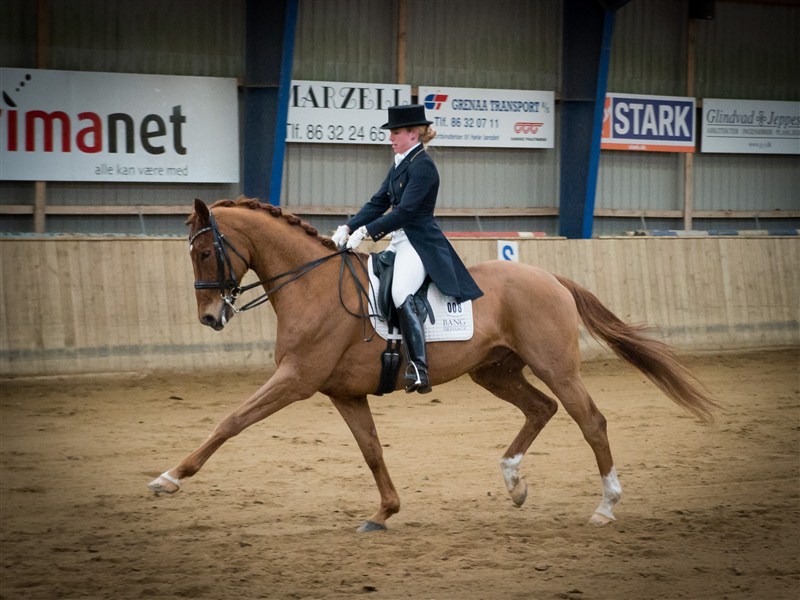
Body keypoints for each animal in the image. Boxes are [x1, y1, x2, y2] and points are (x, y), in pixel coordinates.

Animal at [147, 197, 716, 528]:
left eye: (204, 253)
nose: (210, 318)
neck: (311, 285)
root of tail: (550, 277)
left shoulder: (295, 379)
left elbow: (231, 421)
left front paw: (170, 477)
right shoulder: (344, 392)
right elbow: (372, 450)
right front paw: (384, 512)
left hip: (556, 365)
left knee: (590, 420)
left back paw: (605, 505)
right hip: (494, 371)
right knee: (541, 409)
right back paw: (514, 483)